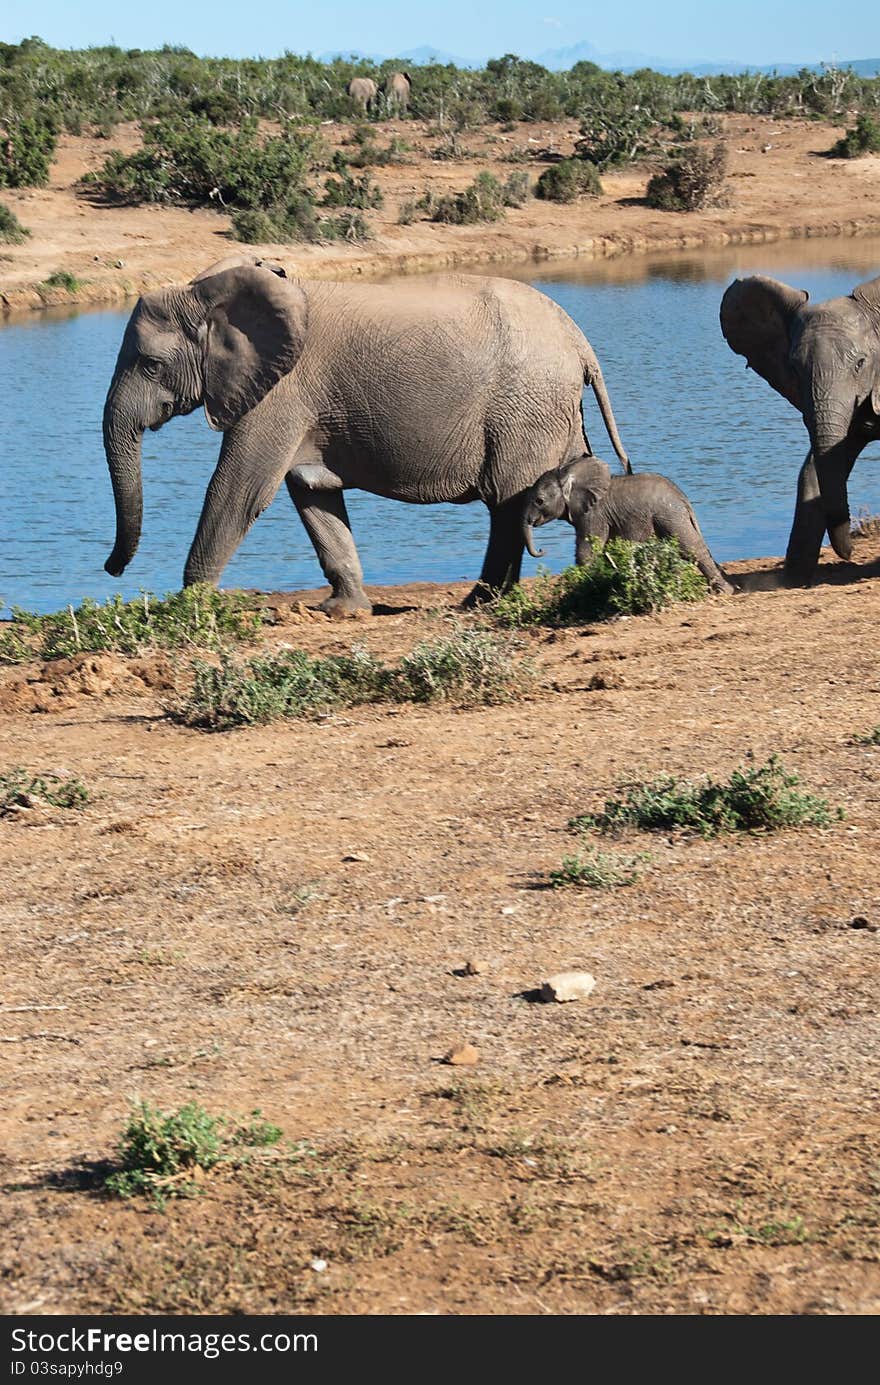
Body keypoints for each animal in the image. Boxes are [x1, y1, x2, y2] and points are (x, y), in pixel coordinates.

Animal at [103, 258, 634, 612]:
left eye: (151, 365)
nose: (111, 569)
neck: (211, 292)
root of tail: (579, 340)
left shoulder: (280, 392)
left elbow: (240, 490)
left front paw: (188, 609)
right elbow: (311, 492)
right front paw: (343, 610)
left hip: (525, 406)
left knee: (507, 502)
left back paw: (478, 603)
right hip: (552, 407)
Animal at [523, 448, 737, 590]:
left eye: (539, 500)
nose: (542, 550)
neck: (571, 473)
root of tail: (684, 500)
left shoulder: (593, 515)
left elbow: (588, 552)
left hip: (669, 515)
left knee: (691, 548)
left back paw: (723, 591)